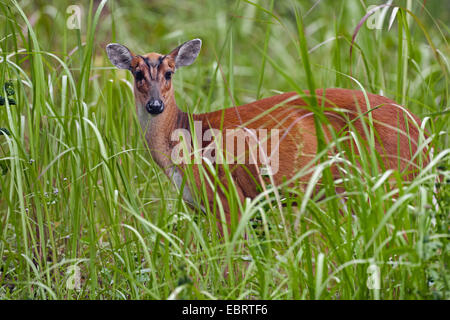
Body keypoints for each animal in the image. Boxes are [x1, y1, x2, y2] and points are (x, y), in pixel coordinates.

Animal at [107, 38, 428, 232]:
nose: (155, 105)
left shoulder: (227, 196)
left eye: (170, 72)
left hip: (388, 176)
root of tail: (418, 128)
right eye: (137, 73)